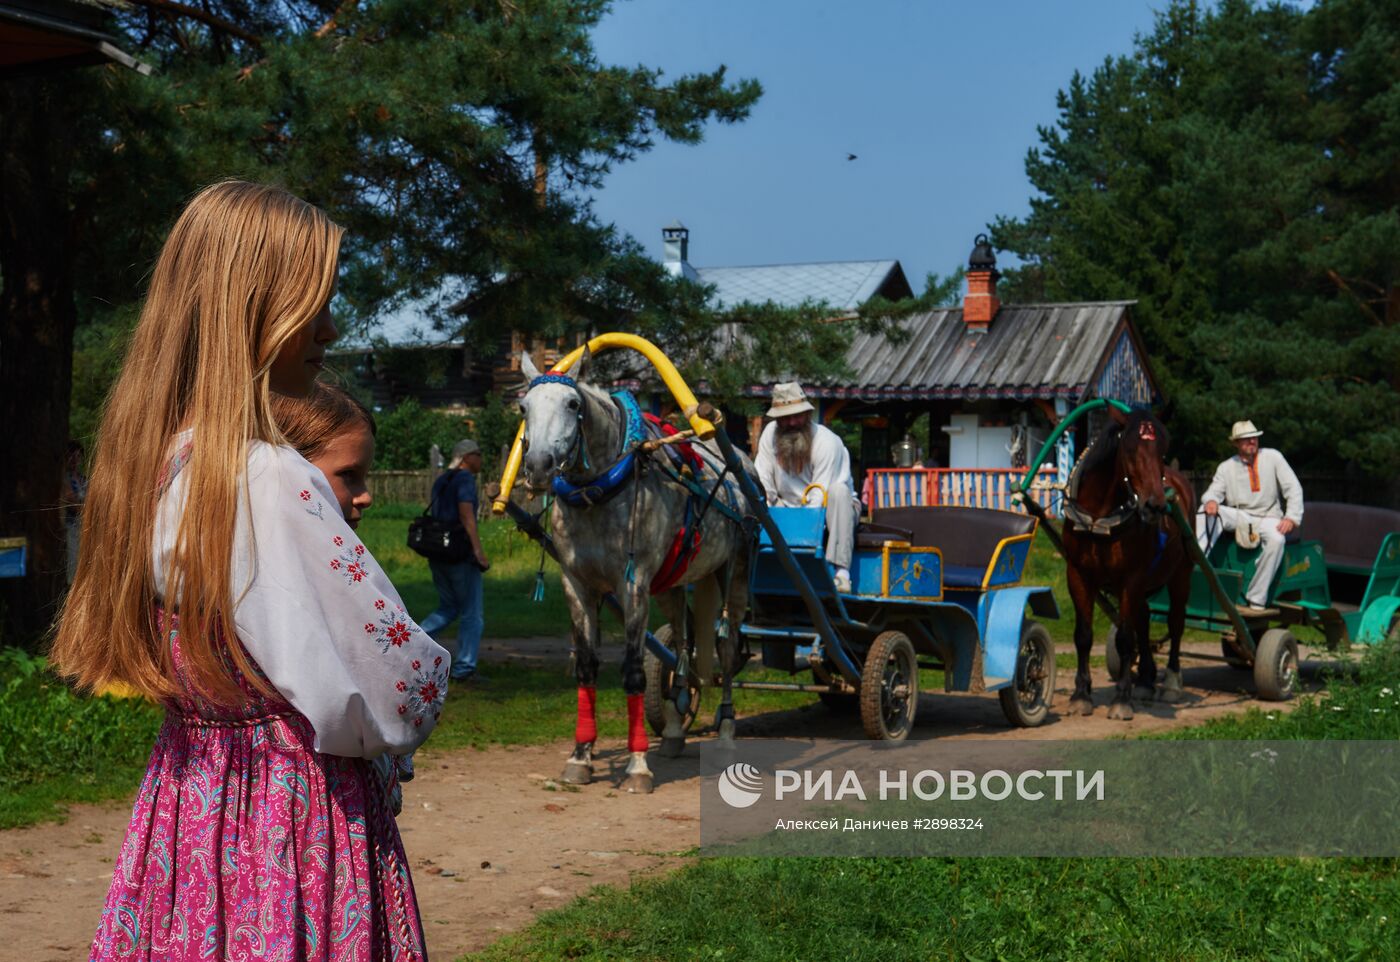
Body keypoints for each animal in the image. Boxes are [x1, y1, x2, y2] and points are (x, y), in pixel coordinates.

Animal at [518, 350, 756, 795]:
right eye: (524, 408)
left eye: (572, 404)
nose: (539, 466)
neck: (596, 493)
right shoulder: (576, 585)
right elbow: (587, 667)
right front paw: (580, 756)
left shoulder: (633, 585)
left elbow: (632, 671)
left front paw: (637, 766)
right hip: (671, 584)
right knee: (682, 643)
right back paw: (677, 728)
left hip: (735, 572)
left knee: (728, 647)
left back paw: (727, 731)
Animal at [1058, 408, 1192, 722]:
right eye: (1130, 450)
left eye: (1163, 450)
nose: (1156, 506)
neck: (1098, 517)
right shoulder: (1078, 574)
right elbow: (1084, 636)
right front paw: (1081, 695)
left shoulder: (1130, 579)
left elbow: (1125, 638)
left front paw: (1121, 699)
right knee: (1143, 620)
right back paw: (1144, 679)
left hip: (1181, 573)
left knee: (1175, 623)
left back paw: (1170, 682)